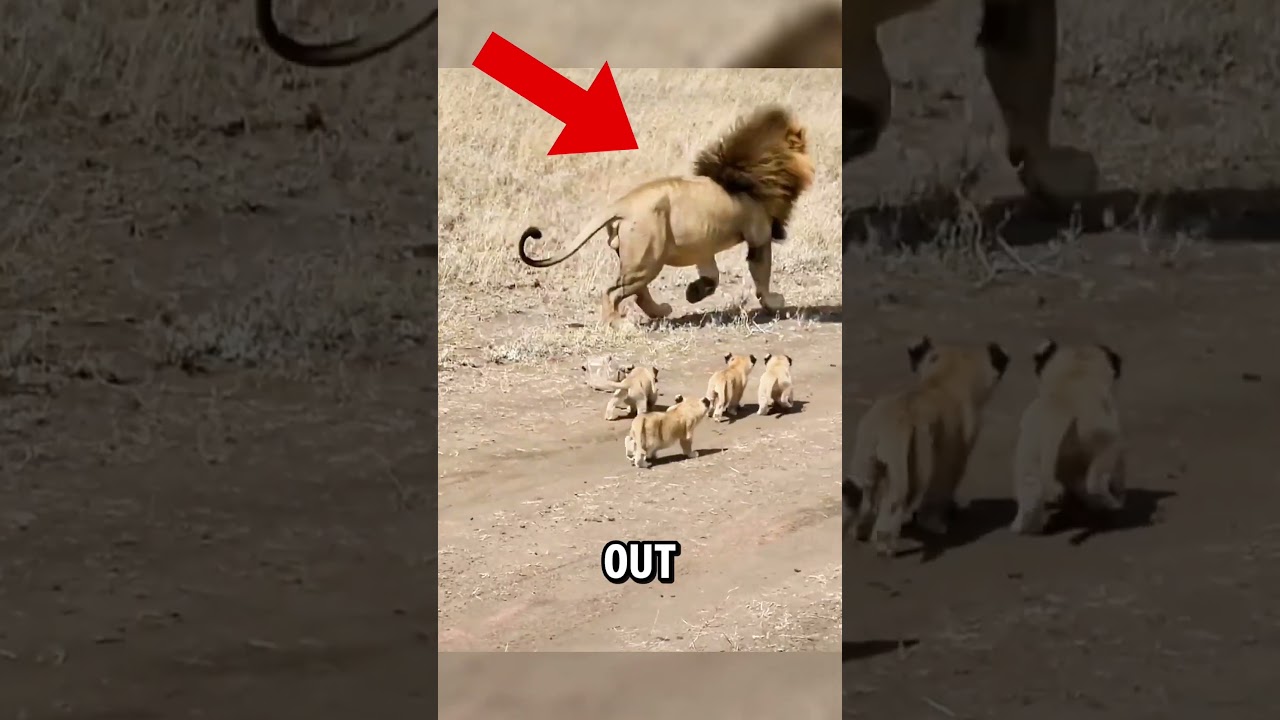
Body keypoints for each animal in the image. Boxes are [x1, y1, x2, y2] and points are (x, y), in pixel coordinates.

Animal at [517, 105, 815, 327]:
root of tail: (622, 204)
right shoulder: (759, 236)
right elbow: (762, 275)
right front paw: (774, 302)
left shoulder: (702, 243)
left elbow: (712, 276)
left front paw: (695, 293)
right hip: (647, 258)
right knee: (613, 291)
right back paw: (619, 324)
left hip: (640, 259)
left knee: (637, 292)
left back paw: (660, 311)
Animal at [845, 336, 1010, 555]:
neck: (943, 381)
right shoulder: (953, 453)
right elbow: (941, 488)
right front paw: (936, 523)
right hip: (910, 459)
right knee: (896, 499)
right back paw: (885, 544)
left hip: (867, 448)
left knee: (867, 490)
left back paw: (860, 530)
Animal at [1010, 341, 1127, 535]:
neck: (1074, 377)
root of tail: (1059, 413)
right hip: (1101, 445)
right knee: (1095, 482)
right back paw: (1112, 503)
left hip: (1029, 453)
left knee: (1031, 491)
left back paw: (1024, 526)